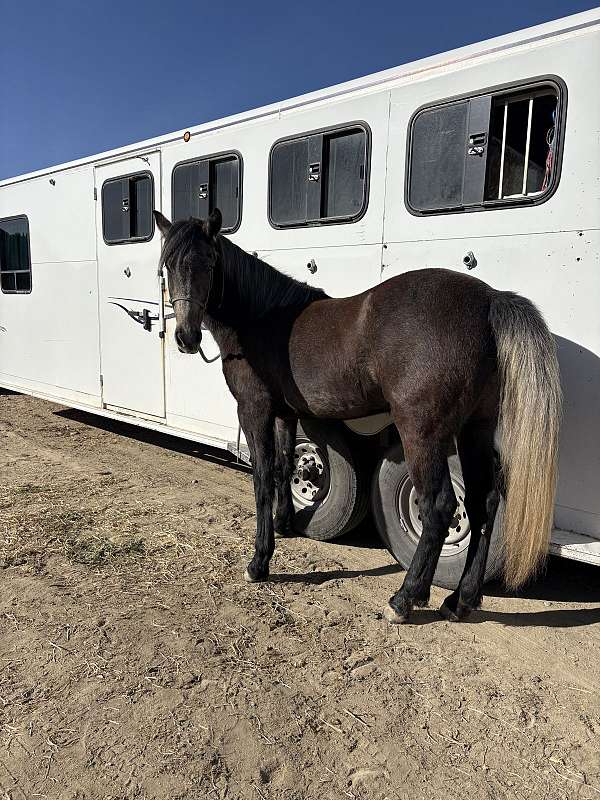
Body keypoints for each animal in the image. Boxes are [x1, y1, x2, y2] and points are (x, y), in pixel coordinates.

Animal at [153, 208, 562, 623]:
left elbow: (263, 477)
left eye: (208, 262)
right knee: (485, 503)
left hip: (422, 434)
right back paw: (461, 599)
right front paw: (284, 525)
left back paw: (405, 598)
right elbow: (284, 467)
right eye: (169, 264)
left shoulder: (255, 410)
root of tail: (489, 300)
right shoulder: (284, 415)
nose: (186, 337)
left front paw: (259, 562)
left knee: (441, 506)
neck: (262, 319)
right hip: (474, 429)